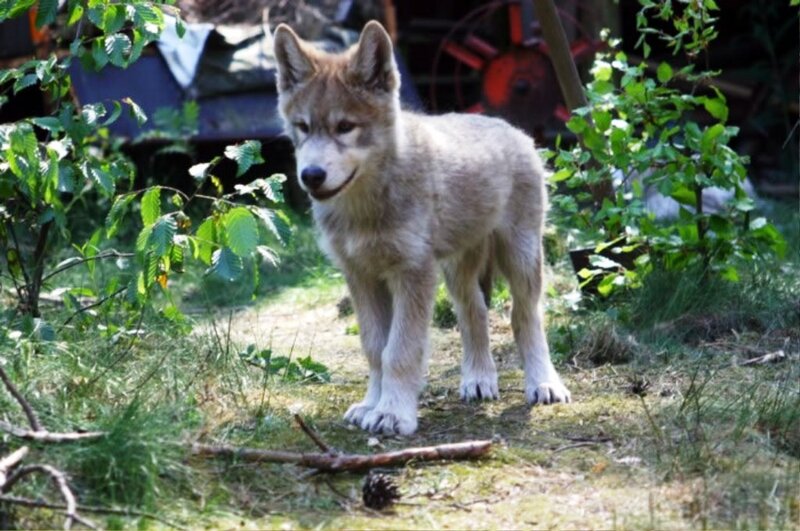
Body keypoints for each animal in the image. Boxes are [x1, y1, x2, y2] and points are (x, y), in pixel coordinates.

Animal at [273, 21, 571, 436]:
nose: (311, 175)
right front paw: (372, 404)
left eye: (345, 127)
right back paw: (479, 379)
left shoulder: (412, 274)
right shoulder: (361, 277)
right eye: (302, 126)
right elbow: (374, 348)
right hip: (458, 271)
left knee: (525, 318)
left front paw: (393, 413)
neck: (366, 207)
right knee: (475, 314)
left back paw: (543, 383)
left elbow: (400, 351)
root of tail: (510, 128)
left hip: (522, 256)